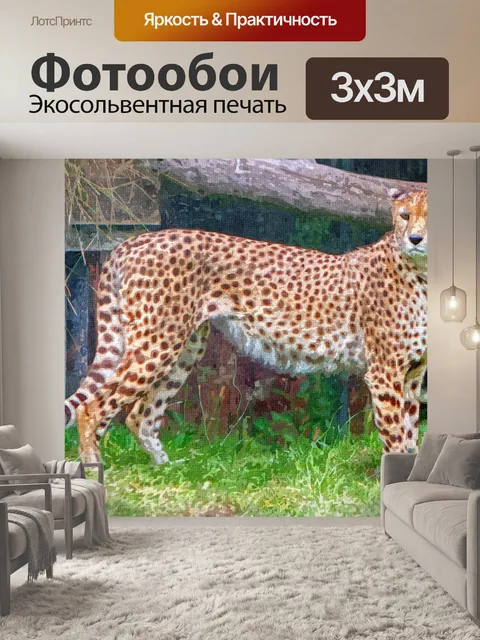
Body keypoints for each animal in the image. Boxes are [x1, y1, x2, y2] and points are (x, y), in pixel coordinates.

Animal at [65, 187, 427, 464]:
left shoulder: (412, 373)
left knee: (140, 414)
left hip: (185, 347)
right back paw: (95, 468)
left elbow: (411, 430)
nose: (415, 238)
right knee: (91, 407)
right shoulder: (385, 372)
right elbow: (396, 433)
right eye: (405, 215)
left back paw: (167, 468)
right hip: (158, 343)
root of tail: (139, 239)